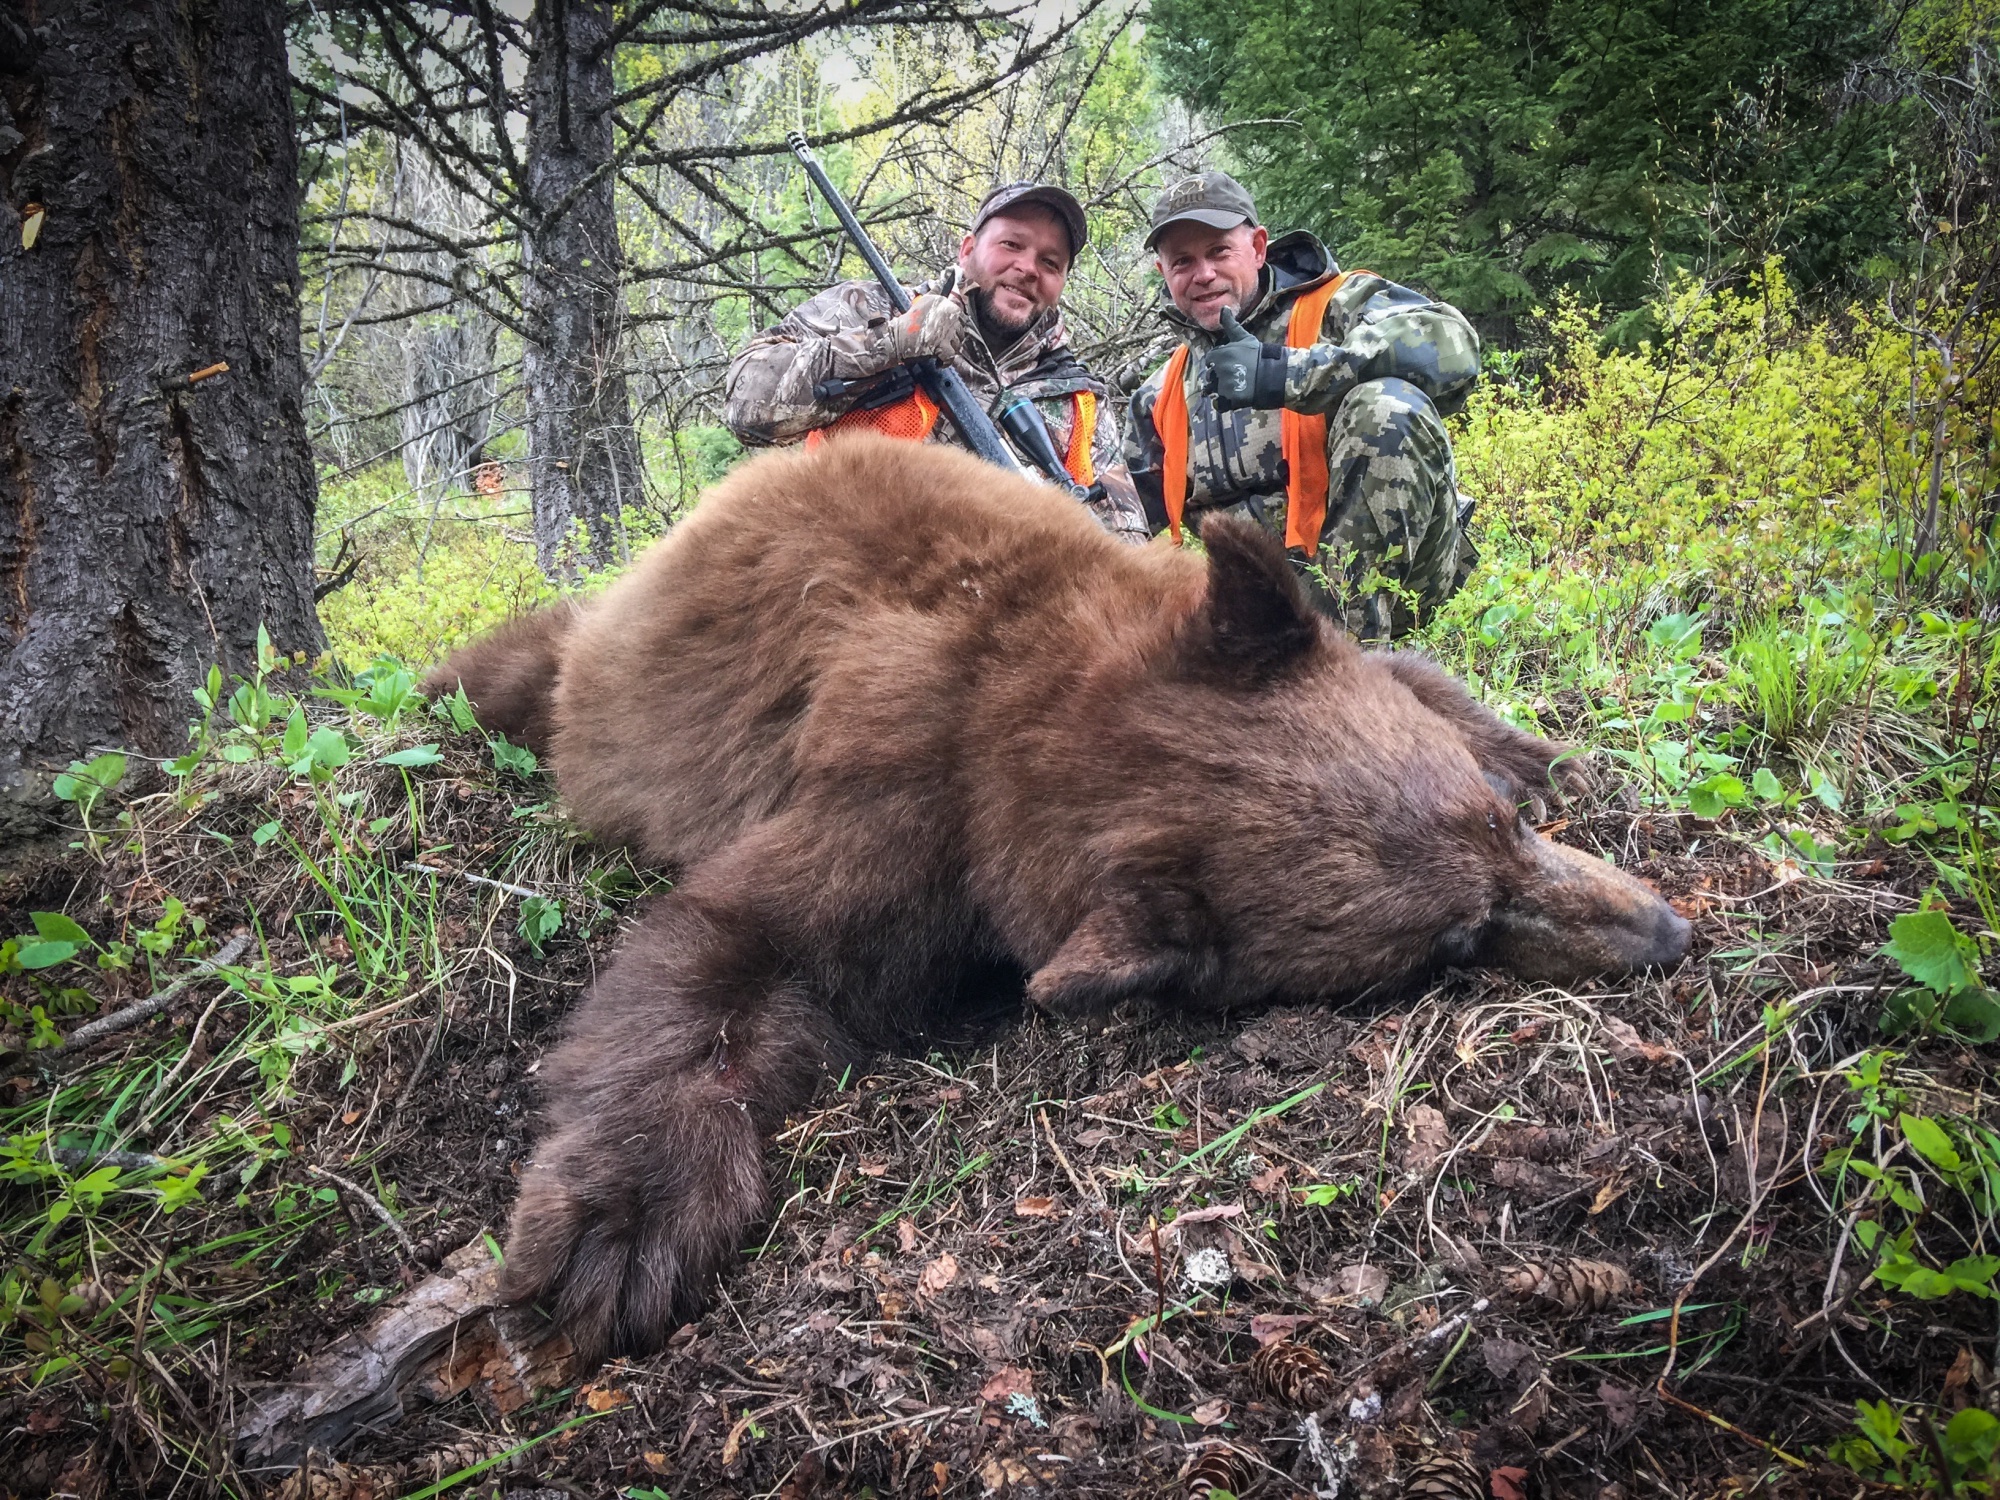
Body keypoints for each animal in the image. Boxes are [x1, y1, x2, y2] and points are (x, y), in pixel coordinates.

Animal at [427, 432, 1689, 1363]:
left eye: (1502, 828)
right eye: (1457, 940)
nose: (1665, 933)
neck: (1024, 664)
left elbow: (1416, 671)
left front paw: (1555, 756)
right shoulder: (904, 797)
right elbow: (730, 941)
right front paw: (617, 1224)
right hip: (579, 678)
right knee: (503, 671)